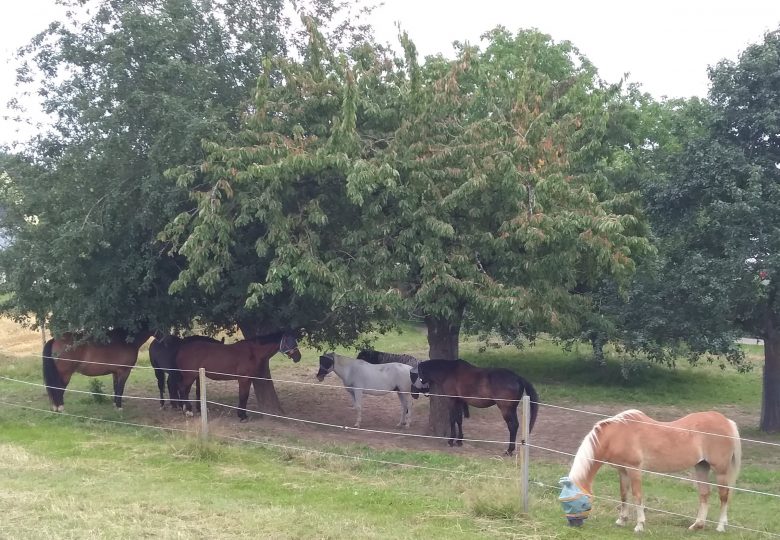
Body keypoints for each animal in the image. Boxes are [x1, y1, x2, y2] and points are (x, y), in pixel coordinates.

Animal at [412, 358, 540, 456]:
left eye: (416, 374)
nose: (414, 392)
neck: (449, 372)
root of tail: (518, 377)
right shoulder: (459, 401)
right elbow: (459, 420)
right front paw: (459, 441)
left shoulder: (452, 400)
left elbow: (452, 419)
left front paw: (451, 441)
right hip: (511, 409)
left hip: (506, 410)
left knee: (512, 426)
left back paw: (509, 450)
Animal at [560, 410, 744, 532]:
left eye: (578, 503)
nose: (573, 524)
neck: (616, 435)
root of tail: (727, 421)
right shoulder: (622, 471)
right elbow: (624, 495)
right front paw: (622, 520)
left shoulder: (634, 469)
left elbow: (637, 496)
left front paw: (639, 525)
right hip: (701, 467)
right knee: (705, 494)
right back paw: (697, 525)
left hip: (720, 471)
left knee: (724, 496)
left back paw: (720, 526)